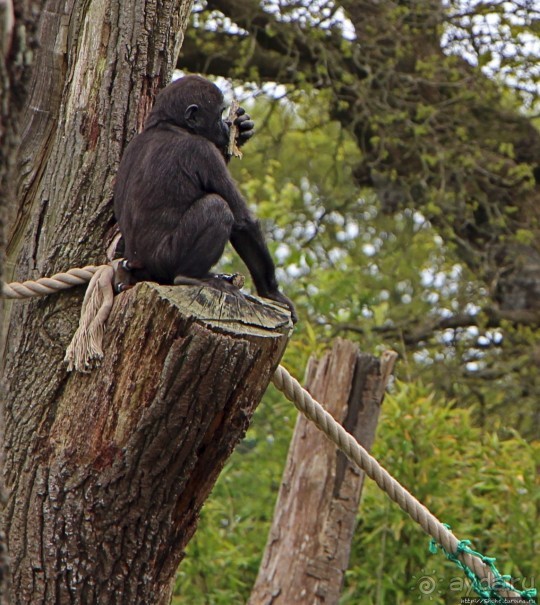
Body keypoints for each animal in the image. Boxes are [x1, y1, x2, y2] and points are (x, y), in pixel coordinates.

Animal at [113, 74, 296, 320]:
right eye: (218, 114)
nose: (224, 125)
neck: (168, 125)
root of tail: (136, 265)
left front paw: (242, 128)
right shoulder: (203, 153)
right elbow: (243, 222)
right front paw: (272, 292)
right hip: (164, 261)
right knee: (217, 207)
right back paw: (190, 276)